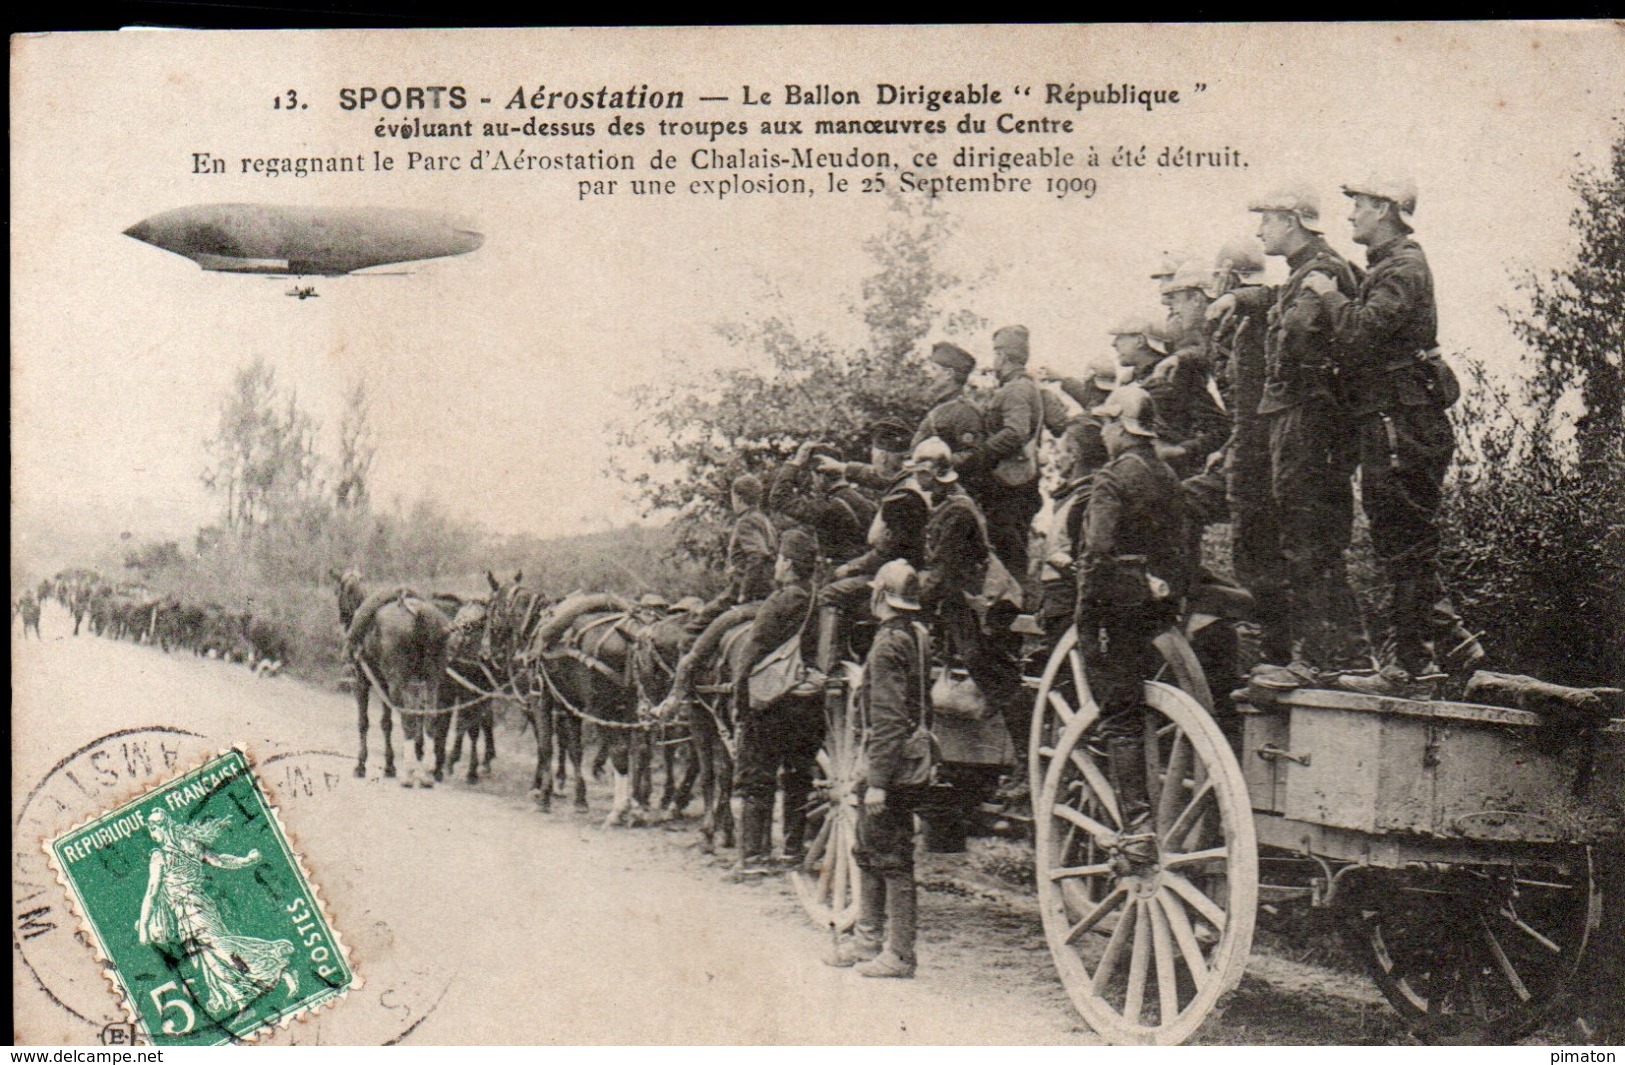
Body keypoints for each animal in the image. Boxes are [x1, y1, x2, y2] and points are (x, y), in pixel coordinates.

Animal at [329, 572, 455, 786]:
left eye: (338, 591)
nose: (342, 619)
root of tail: (418, 612)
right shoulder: (384, 685)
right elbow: (386, 723)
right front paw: (389, 766)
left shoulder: (361, 683)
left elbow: (363, 722)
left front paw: (361, 765)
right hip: (432, 681)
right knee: (430, 719)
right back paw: (425, 774)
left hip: (398, 683)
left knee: (409, 719)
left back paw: (409, 774)